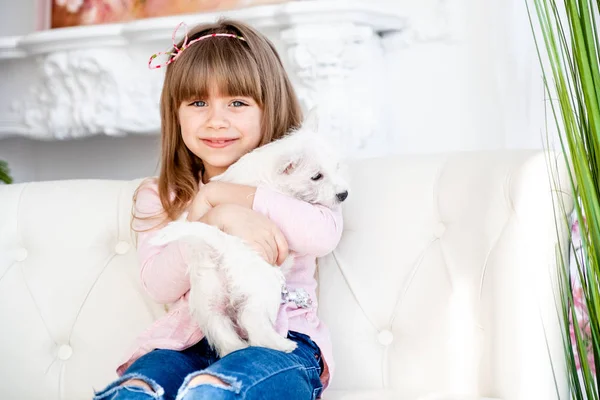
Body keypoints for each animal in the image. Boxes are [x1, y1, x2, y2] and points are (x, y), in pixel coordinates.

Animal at [148, 115, 350, 356]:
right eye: (316, 177)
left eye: (337, 166)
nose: (344, 194)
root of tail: (220, 245)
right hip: (263, 283)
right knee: (252, 320)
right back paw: (281, 344)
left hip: (208, 297)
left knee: (220, 326)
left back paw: (236, 348)